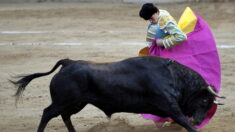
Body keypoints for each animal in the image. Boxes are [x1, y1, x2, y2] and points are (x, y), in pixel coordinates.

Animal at [10, 56, 225, 132]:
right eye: (204, 99)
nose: (198, 120)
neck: (172, 76)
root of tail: (68, 62)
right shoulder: (169, 105)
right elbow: (181, 119)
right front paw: (194, 129)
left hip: (76, 103)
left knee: (65, 116)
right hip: (63, 101)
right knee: (48, 113)